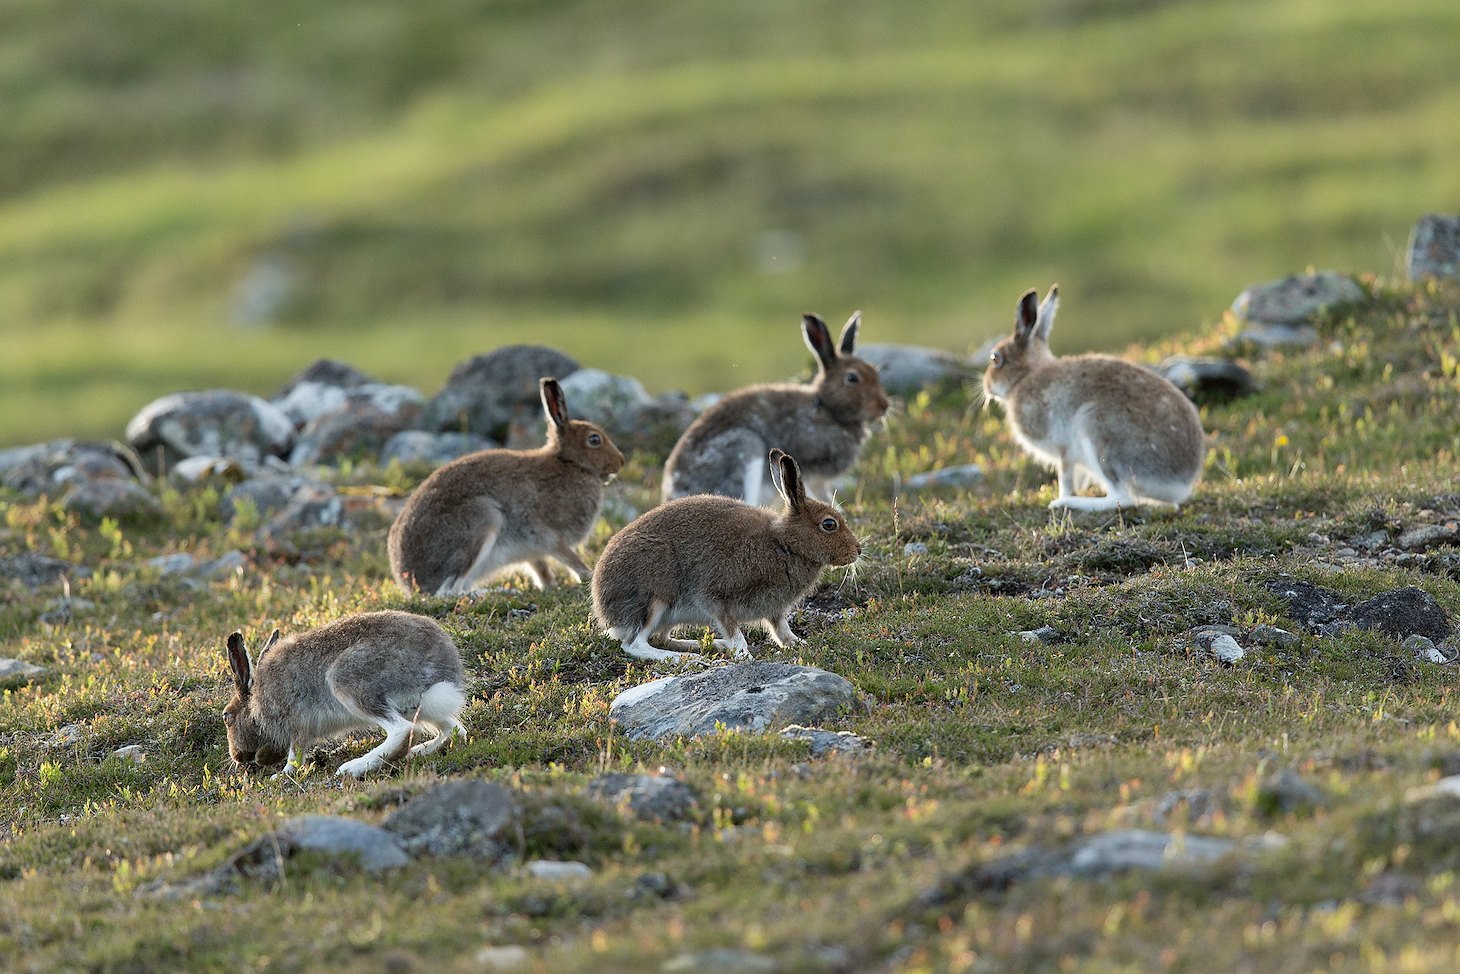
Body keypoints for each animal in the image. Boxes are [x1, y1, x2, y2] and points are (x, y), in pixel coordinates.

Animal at [222, 609, 467, 778]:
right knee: (454, 730)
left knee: (404, 731)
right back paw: (417, 752)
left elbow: (295, 753)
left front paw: (282, 775)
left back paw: (353, 768)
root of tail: (443, 667)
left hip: (348, 681)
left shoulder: (296, 720)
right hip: (420, 707)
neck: (255, 703)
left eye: (226, 717)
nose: (236, 756)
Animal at [388, 377, 625, 595]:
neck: (570, 463)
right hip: (481, 518)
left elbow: (541, 569)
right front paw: (588, 575)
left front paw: (549, 585)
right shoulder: (550, 536)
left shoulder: (532, 550)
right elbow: (569, 558)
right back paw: (499, 592)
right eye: (594, 440)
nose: (621, 461)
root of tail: (409, 580)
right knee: (448, 591)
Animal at [594, 448, 861, 663]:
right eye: (829, 524)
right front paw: (744, 655)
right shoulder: (715, 597)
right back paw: (686, 659)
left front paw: (797, 643)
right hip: (656, 596)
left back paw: (712, 646)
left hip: (669, 615)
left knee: (661, 637)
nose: (857, 550)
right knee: (635, 644)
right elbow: (735, 630)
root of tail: (605, 611)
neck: (784, 544)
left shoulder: (774, 608)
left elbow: (781, 629)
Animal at [661, 311, 890, 505]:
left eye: (875, 373)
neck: (826, 408)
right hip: (745, 447)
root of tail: (673, 493)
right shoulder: (807, 465)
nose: (884, 406)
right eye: (852, 378)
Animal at [982, 285, 1206, 511]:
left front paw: (1062, 496)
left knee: (1121, 498)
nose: (986, 385)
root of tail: (1181, 482)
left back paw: (1068, 502)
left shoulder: (1065, 448)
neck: (1024, 377)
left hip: (1097, 431)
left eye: (995, 358)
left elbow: (1065, 477)